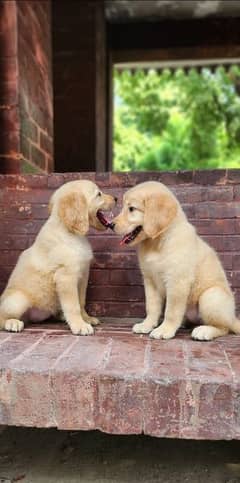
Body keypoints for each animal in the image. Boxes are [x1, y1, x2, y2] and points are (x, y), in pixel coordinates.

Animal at [0, 180, 116, 334]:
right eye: (99, 194)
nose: (116, 198)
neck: (69, 232)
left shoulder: (83, 276)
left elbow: (81, 301)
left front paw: (86, 318)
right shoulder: (66, 277)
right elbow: (73, 306)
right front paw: (80, 325)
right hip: (17, 301)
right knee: (2, 316)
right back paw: (12, 323)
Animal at [111, 180, 240, 342]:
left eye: (131, 209)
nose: (110, 225)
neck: (157, 242)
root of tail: (233, 318)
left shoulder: (177, 281)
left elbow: (171, 311)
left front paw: (164, 330)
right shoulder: (150, 280)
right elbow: (152, 307)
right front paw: (147, 325)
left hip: (211, 296)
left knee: (224, 327)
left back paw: (204, 331)